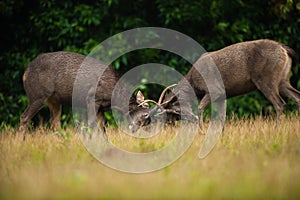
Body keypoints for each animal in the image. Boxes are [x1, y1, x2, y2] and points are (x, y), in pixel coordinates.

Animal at [19, 50, 150, 138]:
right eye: (144, 116)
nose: (137, 132)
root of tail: (25, 72)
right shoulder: (92, 98)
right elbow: (91, 124)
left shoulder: (101, 108)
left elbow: (102, 127)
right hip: (37, 95)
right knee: (24, 117)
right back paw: (21, 141)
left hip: (54, 100)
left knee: (54, 122)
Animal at [142, 39, 300, 130]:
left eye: (173, 110)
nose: (168, 125)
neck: (195, 85)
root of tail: (284, 49)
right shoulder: (222, 96)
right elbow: (222, 117)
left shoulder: (215, 89)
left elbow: (200, 108)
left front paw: (202, 131)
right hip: (283, 80)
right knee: (297, 97)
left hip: (266, 79)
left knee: (280, 104)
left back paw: (277, 129)